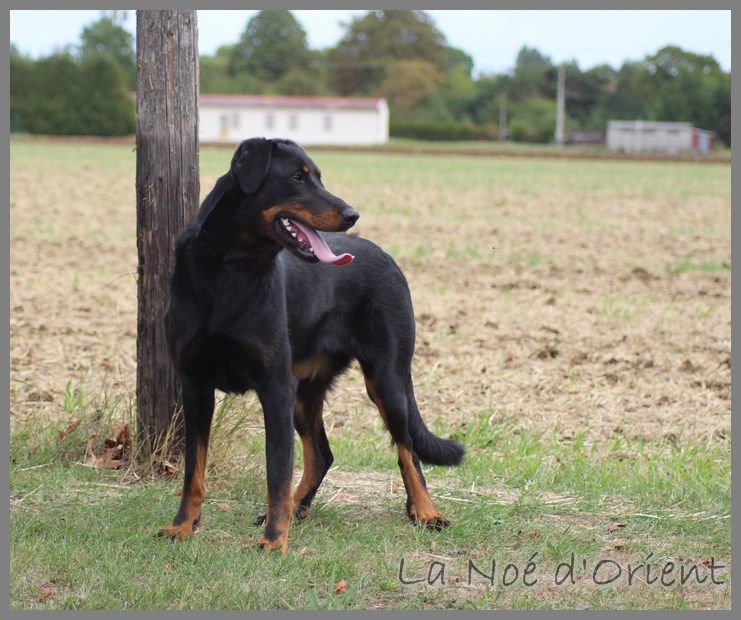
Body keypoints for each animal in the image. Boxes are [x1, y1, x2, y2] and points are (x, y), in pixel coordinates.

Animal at [161, 137, 462, 552]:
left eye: (318, 177)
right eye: (297, 178)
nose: (352, 214)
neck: (230, 267)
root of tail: (386, 256)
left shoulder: (275, 386)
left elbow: (276, 472)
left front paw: (274, 541)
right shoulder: (195, 385)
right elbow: (194, 469)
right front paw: (183, 526)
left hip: (385, 379)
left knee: (407, 449)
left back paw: (426, 510)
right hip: (304, 390)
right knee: (321, 454)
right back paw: (298, 506)